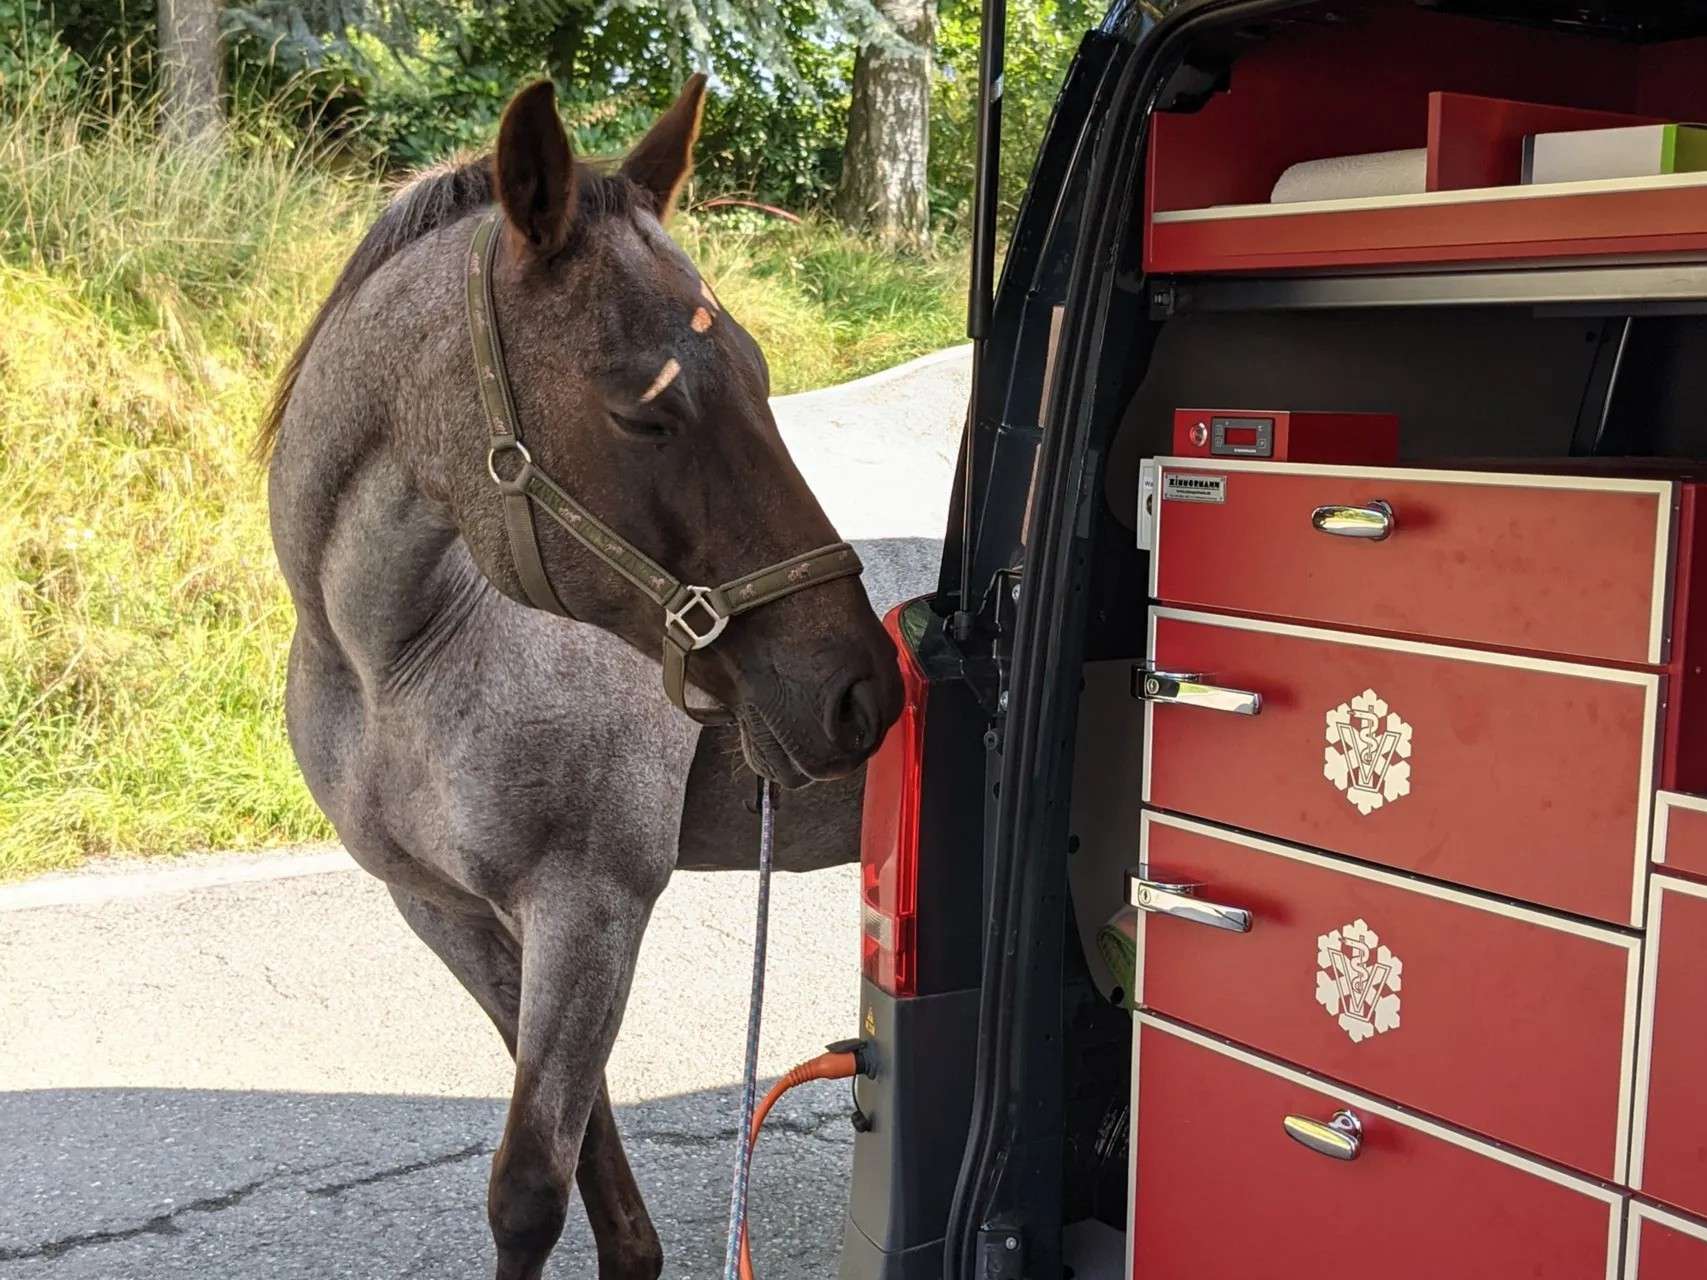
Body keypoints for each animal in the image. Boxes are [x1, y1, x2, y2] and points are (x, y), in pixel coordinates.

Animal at [261, 76, 905, 1280]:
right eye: (644, 408)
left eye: (760, 378)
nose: (861, 691)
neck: (400, 663)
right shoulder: (456, 915)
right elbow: (587, 1140)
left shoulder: (591, 903)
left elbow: (526, 1191)